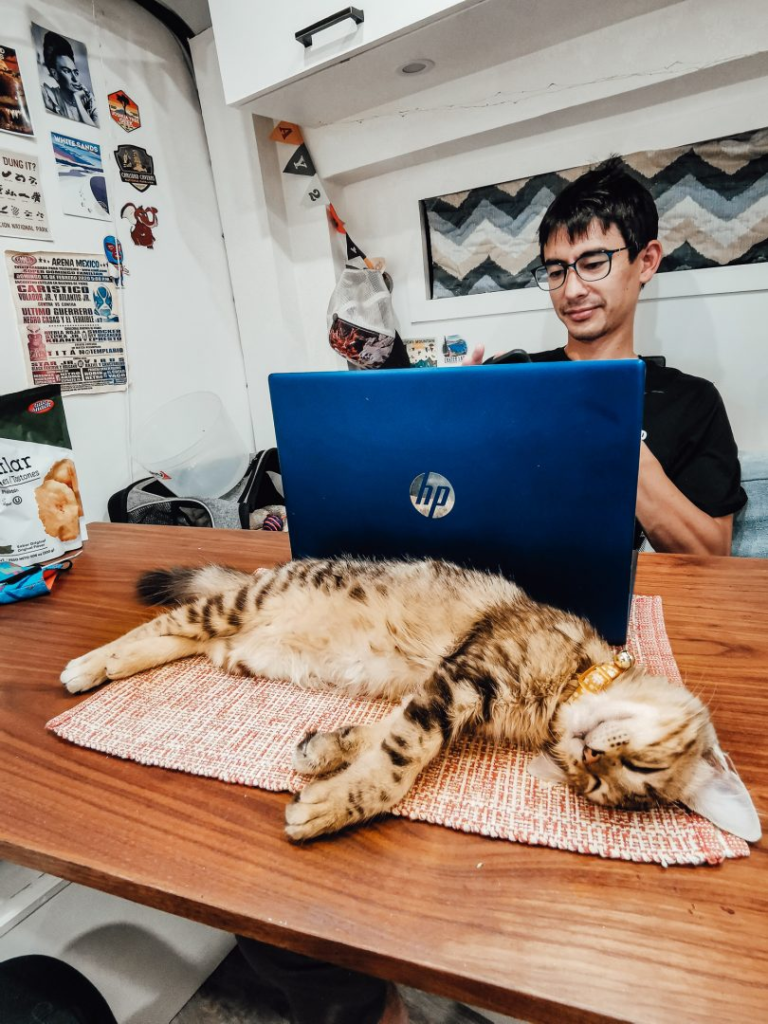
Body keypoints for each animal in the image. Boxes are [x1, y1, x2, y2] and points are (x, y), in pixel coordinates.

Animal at [61, 561, 765, 839]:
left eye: (593, 786)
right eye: (640, 767)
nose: (589, 754)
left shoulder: (452, 695)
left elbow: (379, 737)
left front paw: (326, 754)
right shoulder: (463, 679)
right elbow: (399, 762)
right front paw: (333, 807)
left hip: (236, 647)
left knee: (183, 641)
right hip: (237, 603)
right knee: (165, 622)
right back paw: (88, 665)